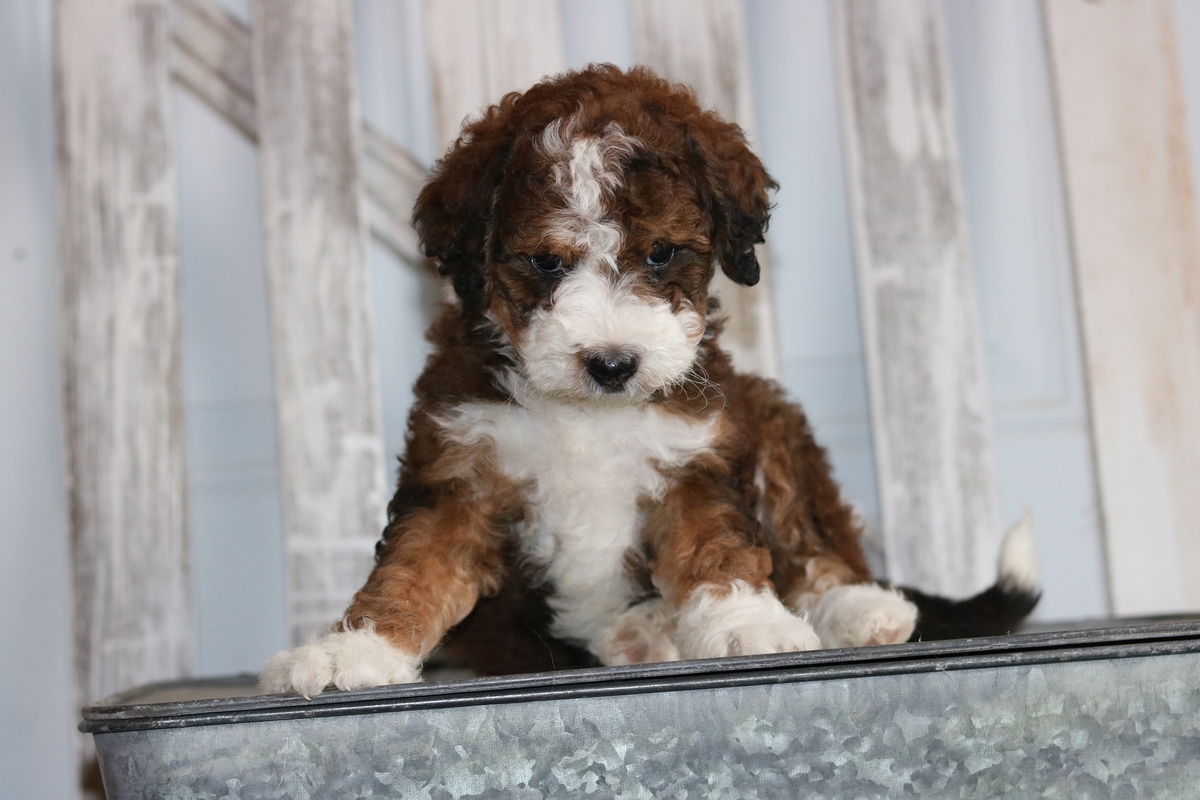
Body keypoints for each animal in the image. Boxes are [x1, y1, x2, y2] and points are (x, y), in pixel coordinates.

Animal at [262, 64, 1041, 700]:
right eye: (546, 262)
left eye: (662, 253)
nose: (613, 363)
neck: (586, 412)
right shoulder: (459, 473)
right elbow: (415, 565)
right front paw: (353, 650)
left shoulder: (695, 452)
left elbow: (716, 543)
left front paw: (746, 622)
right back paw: (641, 632)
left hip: (770, 418)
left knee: (811, 542)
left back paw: (860, 607)